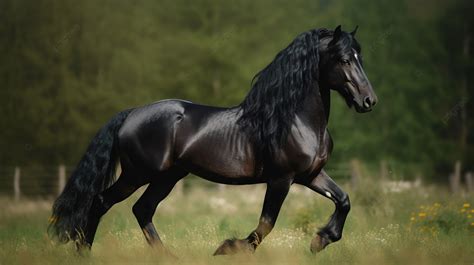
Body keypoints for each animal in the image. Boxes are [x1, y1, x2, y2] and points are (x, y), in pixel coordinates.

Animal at [49, 25, 378, 254]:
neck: (295, 119)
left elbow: (344, 200)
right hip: (138, 173)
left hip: (167, 176)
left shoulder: (311, 175)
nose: (369, 101)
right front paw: (228, 249)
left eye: (360, 58)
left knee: (142, 210)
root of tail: (131, 114)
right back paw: (84, 254)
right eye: (344, 59)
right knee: (101, 202)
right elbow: (266, 224)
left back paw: (169, 257)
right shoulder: (281, 179)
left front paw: (320, 241)